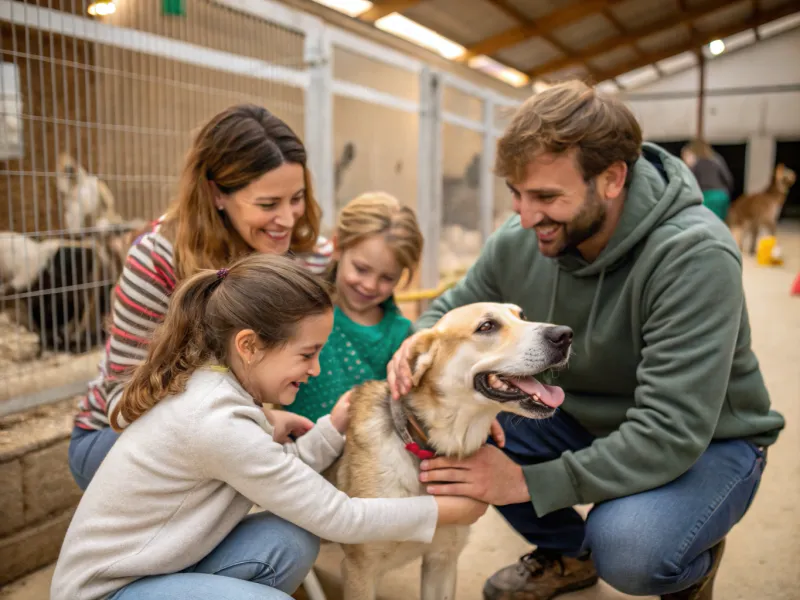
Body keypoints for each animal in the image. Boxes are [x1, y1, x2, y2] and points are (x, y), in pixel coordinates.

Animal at [332, 304, 576, 600]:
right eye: (486, 326)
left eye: (522, 316)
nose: (565, 334)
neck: (427, 447)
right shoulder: (359, 572)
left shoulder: (443, 559)